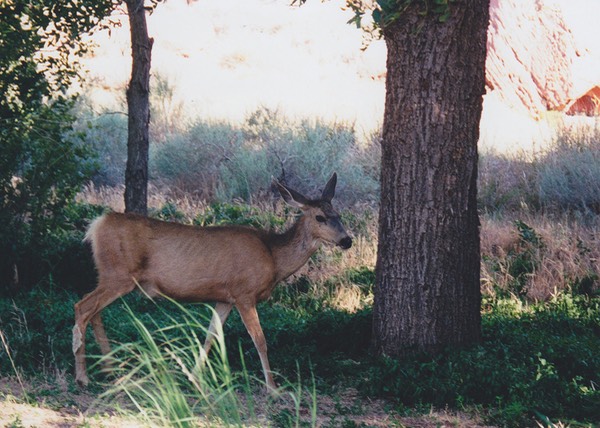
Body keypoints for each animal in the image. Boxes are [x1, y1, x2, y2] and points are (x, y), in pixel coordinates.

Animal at [73, 173, 352, 392]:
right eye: (320, 217)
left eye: (338, 214)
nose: (347, 240)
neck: (273, 256)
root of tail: (97, 225)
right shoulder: (244, 293)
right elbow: (260, 339)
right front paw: (273, 387)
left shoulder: (224, 298)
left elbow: (210, 335)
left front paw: (195, 377)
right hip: (118, 274)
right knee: (82, 307)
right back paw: (83, 376)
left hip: (110, 276)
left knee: (94, 311)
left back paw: (110, 369)